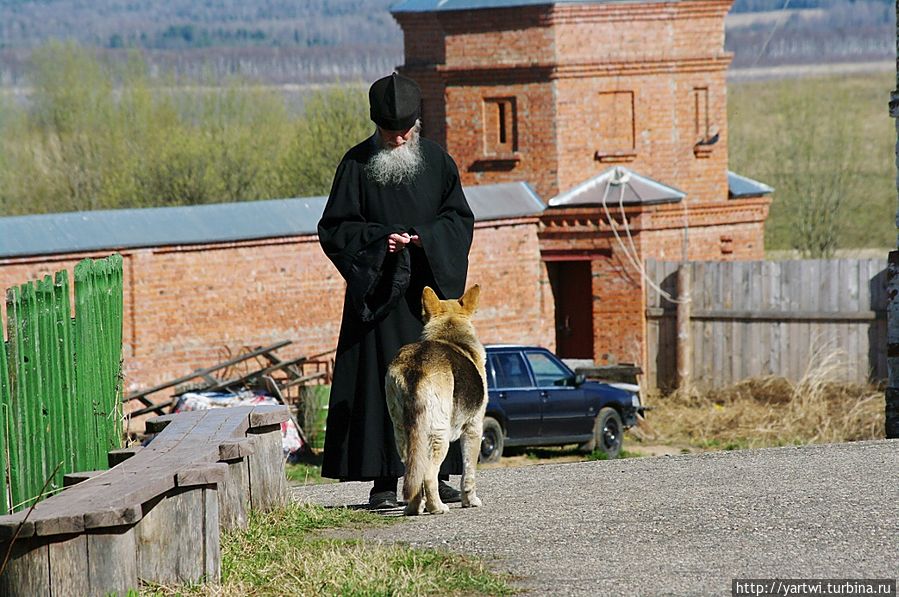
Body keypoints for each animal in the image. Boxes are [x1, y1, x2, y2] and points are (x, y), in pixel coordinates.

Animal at [384, 282, 488, 512]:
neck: (448, 334)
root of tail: (416, 367)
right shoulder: (474, 428)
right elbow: (469, 473)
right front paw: (471, 500)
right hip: (438, 436)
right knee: (429, 475)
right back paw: (437, 507)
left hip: (403, 435)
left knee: (414, 474)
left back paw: (414, 508)